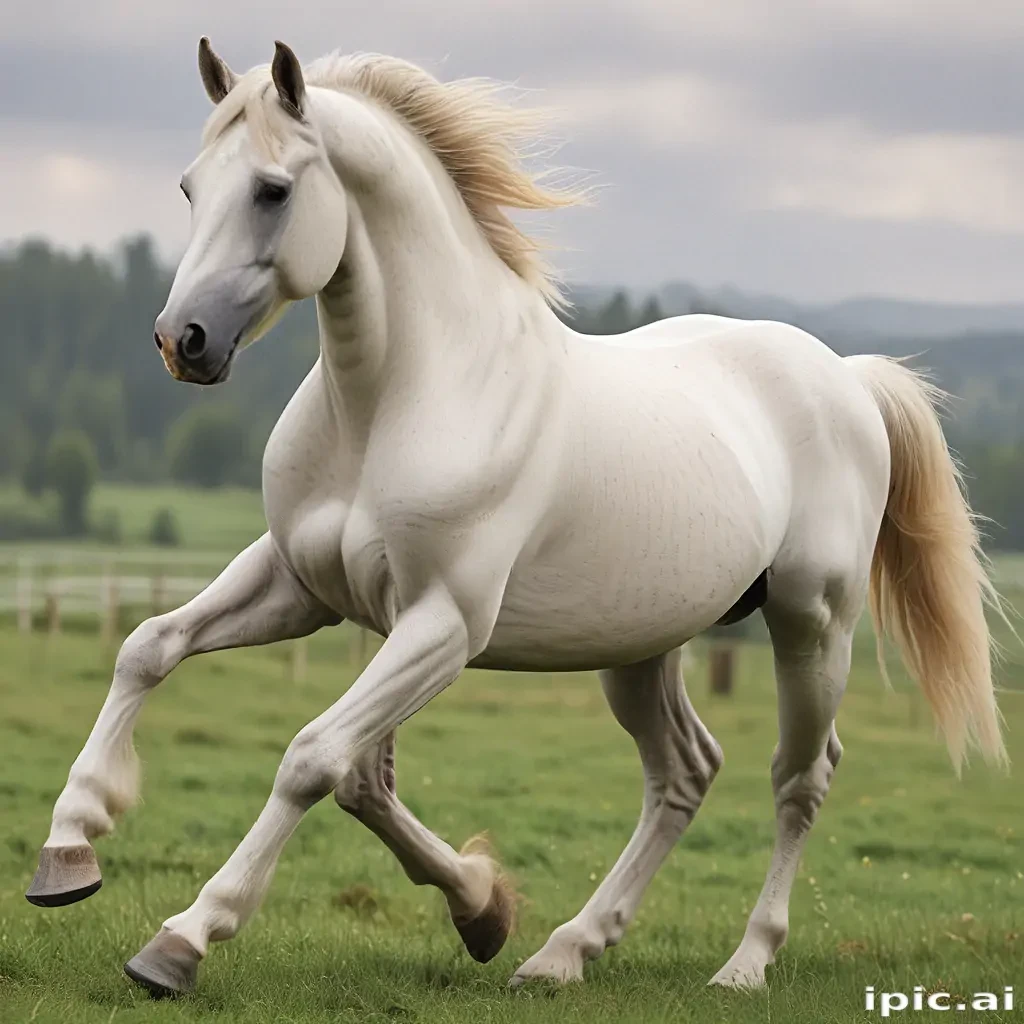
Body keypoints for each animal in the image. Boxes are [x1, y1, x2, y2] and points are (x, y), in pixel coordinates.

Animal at [26, 39, 1005, 998]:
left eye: (273, 190)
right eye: (191, 187)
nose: (181, 341)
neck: (396, 400)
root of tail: (848, 377)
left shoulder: (445, 624)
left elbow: (313, 759)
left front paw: (182, 940)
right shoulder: (303, 588)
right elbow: (157, 652)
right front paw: (69, 852)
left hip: (812, 625)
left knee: (800, 777)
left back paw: (742, 966)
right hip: (641, 645)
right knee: (685, 771)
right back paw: (564, 953)